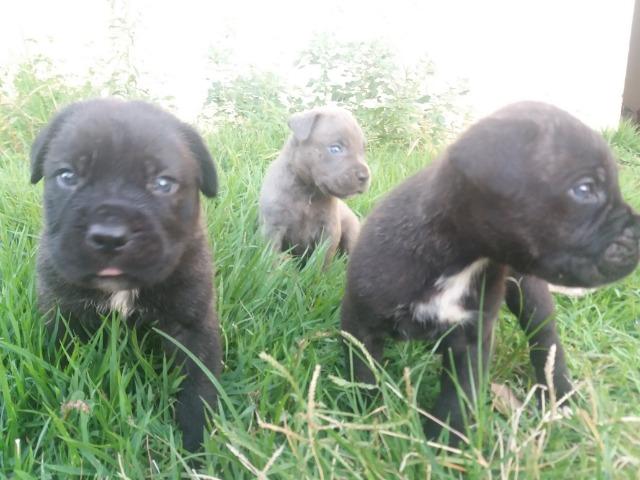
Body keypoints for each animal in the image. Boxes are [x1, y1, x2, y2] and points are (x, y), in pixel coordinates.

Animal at [31, 97, 224, 450]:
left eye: (163, 183)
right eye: (68, 176)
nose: (110, 236)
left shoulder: (192, 326)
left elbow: (199, 386)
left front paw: (198, 446)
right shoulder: (62, 316)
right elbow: (61, 368)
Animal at [258, 107, 370, 264]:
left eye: (363, 150)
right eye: (335, 148)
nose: (365, 176)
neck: (307, 191)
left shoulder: (329, 230)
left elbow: (322, 260)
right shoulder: (273, 226)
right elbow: (272, 255)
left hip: (353, 232)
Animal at [342, 101, 640, 442]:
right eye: (584, 189)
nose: (637, 232)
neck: (459, 259)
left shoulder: (473, 341)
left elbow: (458, 396)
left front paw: (445, 443)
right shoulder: (359, 323)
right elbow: (363, 375)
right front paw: (369, 422)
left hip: (530, 294)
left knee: (546, 341)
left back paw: (560, 397)